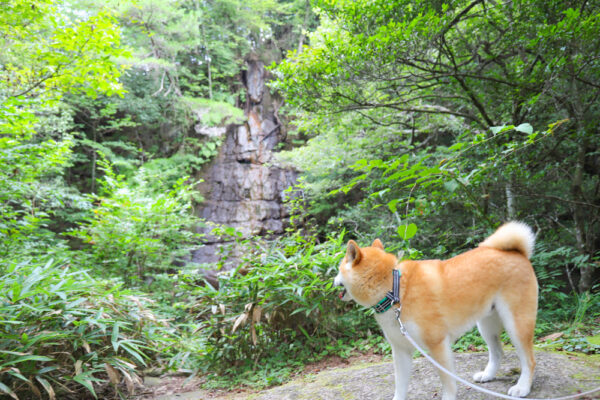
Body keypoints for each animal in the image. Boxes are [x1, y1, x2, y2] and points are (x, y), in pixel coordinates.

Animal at [332, 222, 540, 400]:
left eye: (339, 269)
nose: (333, 280)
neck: (395, 290)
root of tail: (518, 253)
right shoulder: (401, 349)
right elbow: (400, 385)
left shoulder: (437, 344)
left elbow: (448, 383)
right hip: (486, 325)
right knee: (498, 352)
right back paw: (488, 375)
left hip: (516, 324)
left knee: (529, 360)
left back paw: (522, 387)